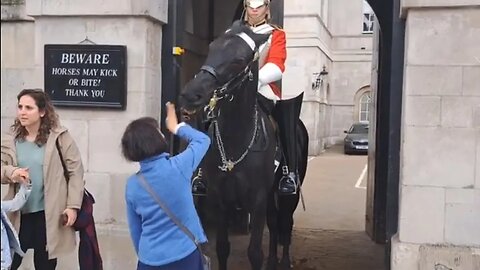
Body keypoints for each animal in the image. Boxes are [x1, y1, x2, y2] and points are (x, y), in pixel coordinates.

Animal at [179, 21, 308, 270]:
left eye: (239, 59)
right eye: (211, 48)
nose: (191, 94)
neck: (236, 139)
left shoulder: (257, 199)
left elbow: (254, 252)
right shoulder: (220, 199)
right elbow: (222, 248)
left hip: (287, 193)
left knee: (285, 222)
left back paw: (284, 261)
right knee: (274, 223)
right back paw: (272, 261)